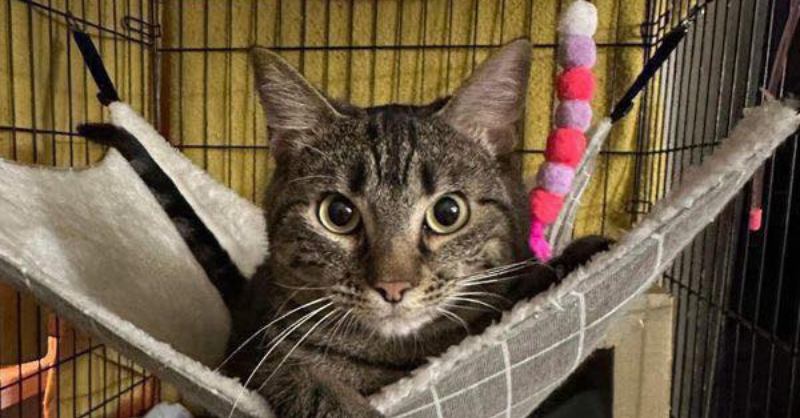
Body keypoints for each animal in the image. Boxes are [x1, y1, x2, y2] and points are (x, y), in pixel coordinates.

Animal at [221, 39, 612, 418]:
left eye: (448, 212)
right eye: (339, 213)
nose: (393, 286)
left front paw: (574, 258)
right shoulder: (262, 362)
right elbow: (313, 387)